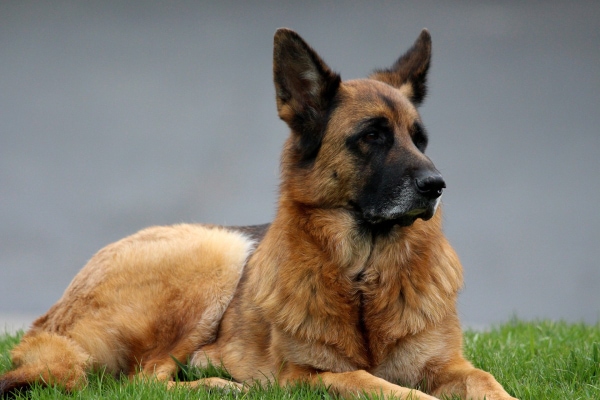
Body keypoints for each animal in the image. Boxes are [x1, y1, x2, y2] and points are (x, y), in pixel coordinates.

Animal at [0, 28, 516, 400]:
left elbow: (487, 381)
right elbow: (376, 384)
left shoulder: (450, 366)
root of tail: (46, 322)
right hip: (219, 251)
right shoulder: (308, 375)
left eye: (420, 139)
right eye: (372, 136)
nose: (436, 185)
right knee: (146, 377)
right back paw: (221, 385)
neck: (363, 278)